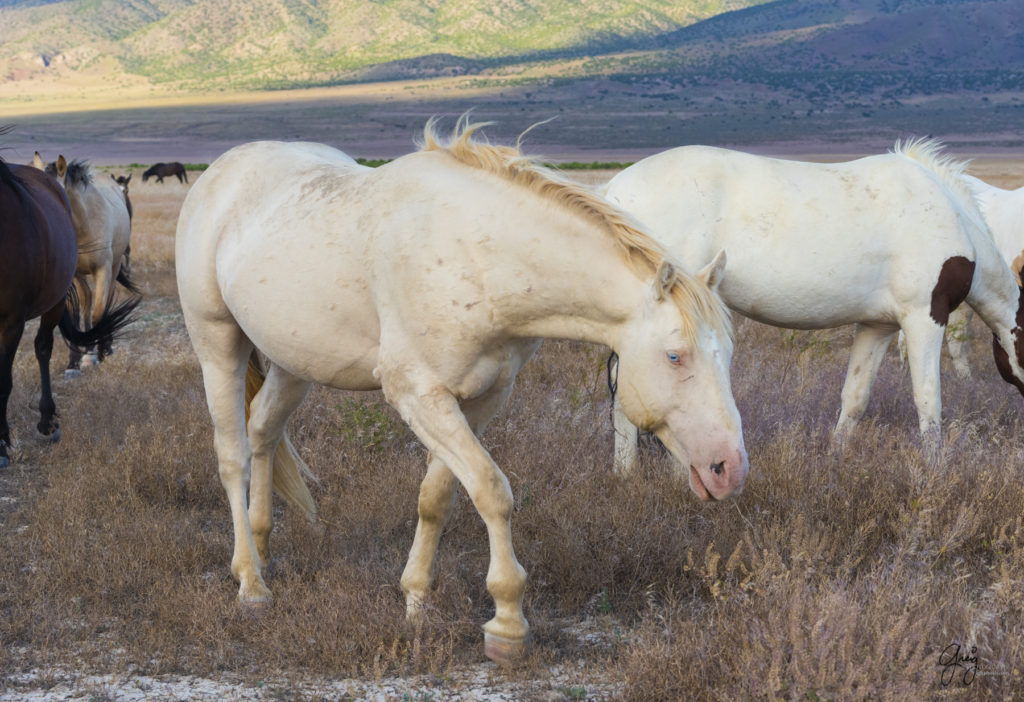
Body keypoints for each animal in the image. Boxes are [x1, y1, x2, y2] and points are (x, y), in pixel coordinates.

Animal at [32, 153, 134, 374]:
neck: (83, 224)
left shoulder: (103, 270)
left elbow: (98, 313)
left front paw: (101, 352)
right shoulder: (71, 276)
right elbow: (78, 313)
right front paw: (75, 362)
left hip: (113, 268)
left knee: (104, 301)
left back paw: (104, 348)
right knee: (86, 301)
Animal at [176, 120, 749, 667]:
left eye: (728, 352)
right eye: (675, 356)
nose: (729, 469)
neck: (477, 255)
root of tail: (220, 171)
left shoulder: (482, 398)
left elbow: (439, 497)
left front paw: (416, 601)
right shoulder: (419, 394)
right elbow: (492, 491)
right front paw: (507, 624)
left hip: (296, 363)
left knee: (262, 430)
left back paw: (261, 546)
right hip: (218, 344)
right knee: (233, 456)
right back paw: (251, 583)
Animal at [602, 139, 1024, 472]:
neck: (952, 216)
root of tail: (613, 190)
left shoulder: (878, 327)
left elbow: (855, 398)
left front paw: (836, 458)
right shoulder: (924, 316)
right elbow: (928, 398)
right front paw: (935, 468)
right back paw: (627, 474)